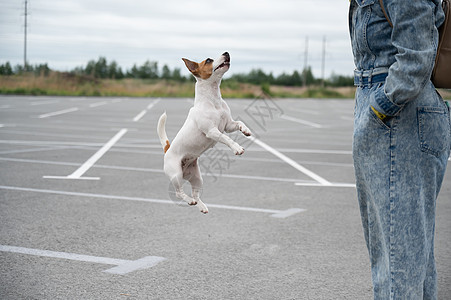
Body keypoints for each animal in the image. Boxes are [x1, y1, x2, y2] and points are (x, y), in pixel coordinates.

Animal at [158, 52, 251, 214]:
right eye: (208, 60)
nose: (226, 53)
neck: (213, 100)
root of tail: (167, 150)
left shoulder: (228, 125)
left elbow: (239, 123)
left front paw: (245, 130)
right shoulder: (212, 131)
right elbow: (227, 139)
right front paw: (237, 148)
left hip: (197, 178)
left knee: (196, 193)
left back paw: (201, 206)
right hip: (176, 175)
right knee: (179, 193)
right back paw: (189, 200)